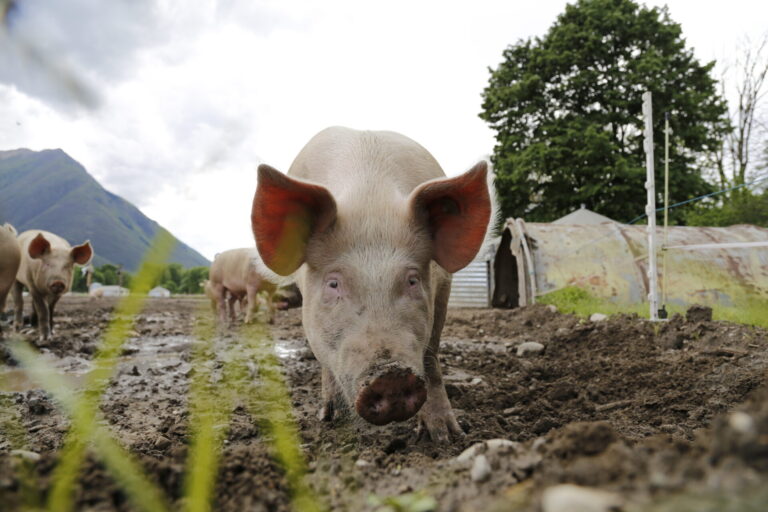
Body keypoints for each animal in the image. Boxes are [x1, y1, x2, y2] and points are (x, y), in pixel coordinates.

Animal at [251, 127, 492, 441]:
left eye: (412, 280)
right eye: (333, 284)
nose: (390, 376)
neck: (370, 202)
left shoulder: (443, 285)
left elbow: (431, 358)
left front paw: (448, 437)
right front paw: (331, 419)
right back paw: (329, 415)